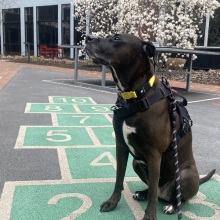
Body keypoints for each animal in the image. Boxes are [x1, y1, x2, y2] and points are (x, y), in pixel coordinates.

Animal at [84, 33, 215, 219]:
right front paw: (112, 202)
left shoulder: (154, 154)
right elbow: (119, 178)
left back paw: (173, 206)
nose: (87, 37)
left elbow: (153, 192)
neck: (134, 96)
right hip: (137, 163)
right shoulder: (120, 146)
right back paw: (142, 193)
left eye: (116, 38)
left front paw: (149, 216)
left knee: (174, 196)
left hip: (185, 175)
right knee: (154, 189)